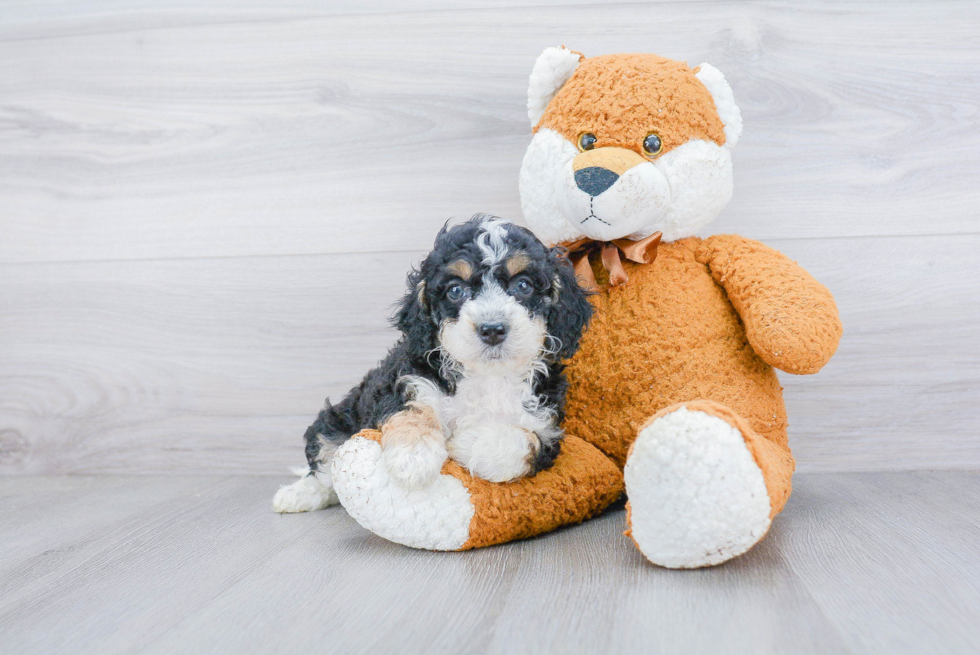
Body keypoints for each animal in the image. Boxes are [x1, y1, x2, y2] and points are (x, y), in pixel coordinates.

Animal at [272, 214, 588, 512]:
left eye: (523, 285)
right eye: (456, 291)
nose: (492, 329)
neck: (486, 375)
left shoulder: (547, 426)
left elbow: (525, 443)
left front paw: (469, 442)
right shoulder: (404, 382)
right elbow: (411, 412)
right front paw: (413, 459)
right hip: (336, 419)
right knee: (325, 465)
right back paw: (296, 495)